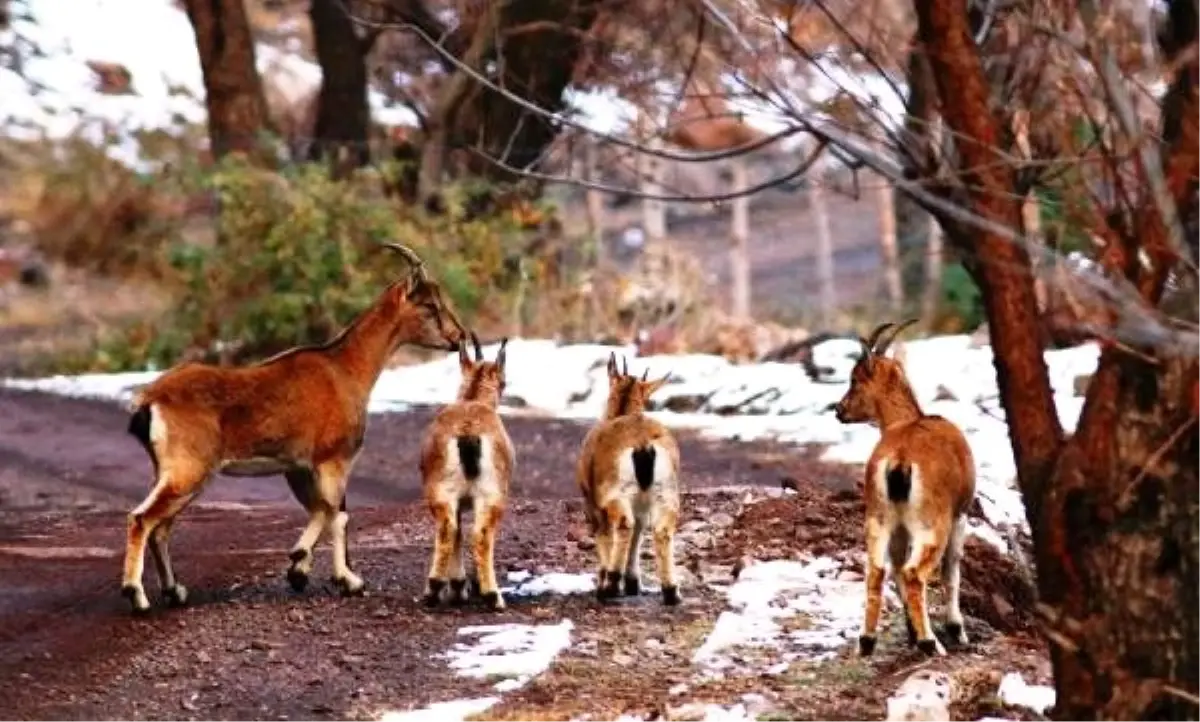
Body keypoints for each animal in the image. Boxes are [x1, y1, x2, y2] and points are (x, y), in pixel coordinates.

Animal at [117, 242, 463, 611]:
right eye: (429, 305)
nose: (458, 337)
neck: (345, 368)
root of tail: (149, 400)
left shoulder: (297, 467)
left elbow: (320, 510)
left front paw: (299, 567)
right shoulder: (333, 460)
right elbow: (337, 515)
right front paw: (349, 581)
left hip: (173, 472)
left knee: (161, 527)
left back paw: (175, 591)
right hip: (188, 469)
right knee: (142, 519)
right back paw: (136, 595)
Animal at [420, 331, 513, 606]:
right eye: (503, 382)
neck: (472, 400)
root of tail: (468, 433)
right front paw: (459, 587)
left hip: (445, 491)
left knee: (451, 529)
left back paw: (436, 589)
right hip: (490, 494)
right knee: (477, 535)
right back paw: (490, 595)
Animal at [576, 350, 681, 604]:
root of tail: (643, 444)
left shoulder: (592, 503)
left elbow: (604, 534)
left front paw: (604, 582)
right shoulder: (641, 504)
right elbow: (639, 532)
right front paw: (633, 583)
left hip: (616, 494)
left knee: (624, 525)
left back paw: (611, 584)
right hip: (665, 493)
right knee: (661, 530)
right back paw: (671, 591)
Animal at [835, 316, 974, 657]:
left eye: (854, 379)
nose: (839, 410)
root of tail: (899, 461)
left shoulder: (899, 526)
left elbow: (895, 568)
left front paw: (911, 632)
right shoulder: (960, 514)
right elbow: (952, 569)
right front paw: (956, 630)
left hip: (879, 518)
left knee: (877, 571)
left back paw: (867, 641)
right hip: (931, 523)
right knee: (915, 574)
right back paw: (931, 643)